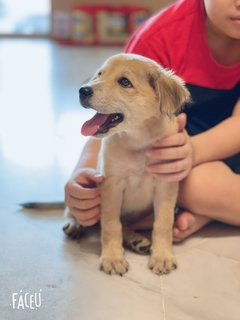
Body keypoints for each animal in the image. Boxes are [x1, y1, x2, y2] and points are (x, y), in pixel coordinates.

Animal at [63, 53, 189, 276]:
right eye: (99, 74)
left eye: (124, 82)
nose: (82, 90)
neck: (138, 141)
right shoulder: (110, 185)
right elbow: (111, 225)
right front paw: (113, 258)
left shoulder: (166, 186)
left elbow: (163, 224)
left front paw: (162, 256)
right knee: (74, 209)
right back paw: (73, 223)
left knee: (130, 225)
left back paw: (137, 240)